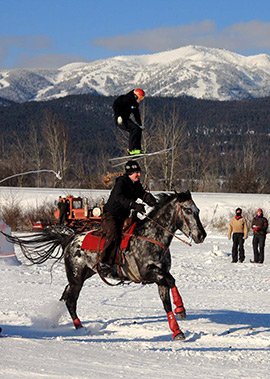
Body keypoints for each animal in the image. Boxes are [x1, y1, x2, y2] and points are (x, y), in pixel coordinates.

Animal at [6, 191, 205, 340]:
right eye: (187, 210)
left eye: (197, 210)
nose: (201, 235)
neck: (151, 237)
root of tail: (69, 239)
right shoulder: (149, 273)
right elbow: (172, 282)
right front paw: (181, 309)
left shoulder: (160, 275)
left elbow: (167, 301)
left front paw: (177, 330)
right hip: (77, 277)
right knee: (71, 301)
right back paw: (80, 328)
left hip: (82, 275)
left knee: (65, 296)